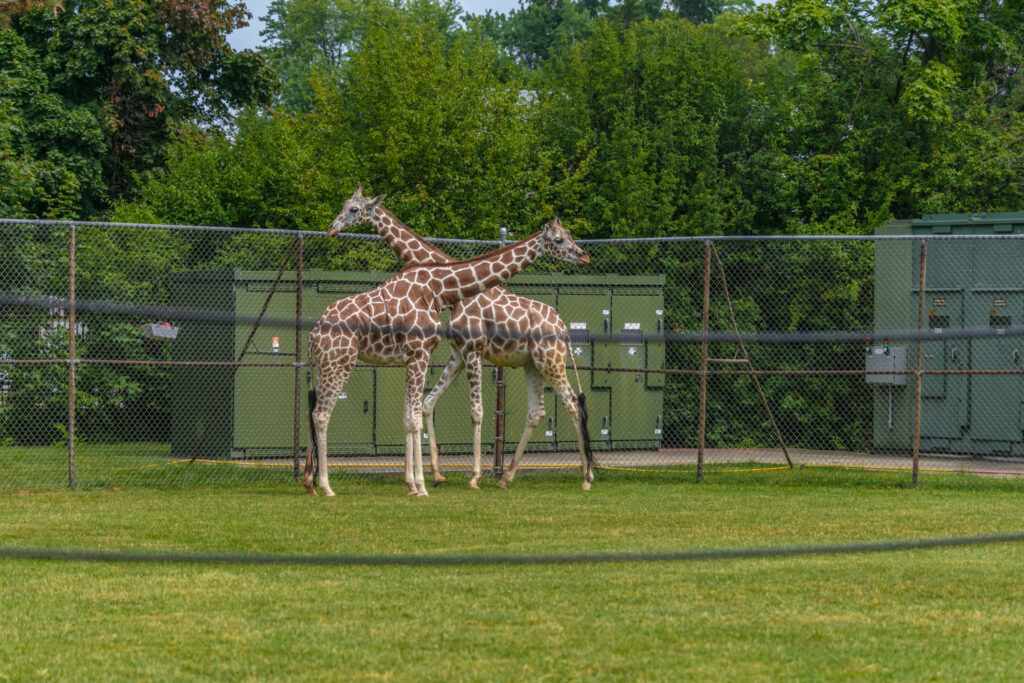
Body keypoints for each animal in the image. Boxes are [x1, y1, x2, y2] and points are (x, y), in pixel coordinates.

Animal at [327, 186, 597, 491]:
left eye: (353, 209)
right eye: (345, 205)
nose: (332, 228)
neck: (452, 291)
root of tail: (563, 327)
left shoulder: (472, 350)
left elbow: (476, 411)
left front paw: (473, 476)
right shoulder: (457, 353)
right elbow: (427, 404)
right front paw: (435, 474)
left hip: (551, 360)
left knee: (572, 405)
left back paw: (586, 478)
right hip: (533, 364)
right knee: (537, 412)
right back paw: (506, 477)